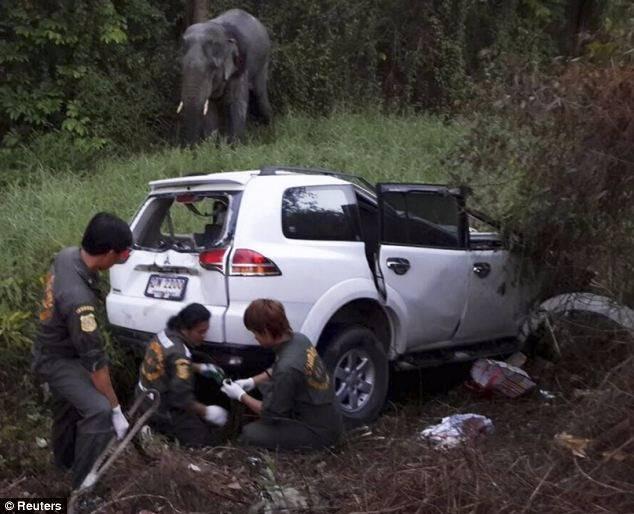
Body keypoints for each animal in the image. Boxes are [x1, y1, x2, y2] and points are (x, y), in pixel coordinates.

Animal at [177, 10, 270, 146]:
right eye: (182, 66)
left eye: (212, 67)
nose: (190, 148)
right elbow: (210, 108)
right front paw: (211, 146)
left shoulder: (239, 67)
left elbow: (236, 103)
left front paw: (235, 147)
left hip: (263, 63)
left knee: (260, 96)